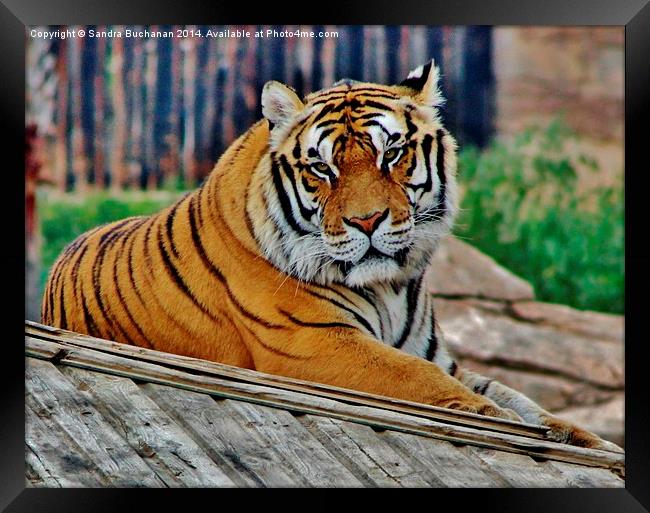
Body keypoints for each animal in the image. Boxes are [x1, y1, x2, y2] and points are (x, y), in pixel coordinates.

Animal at [40, 60, 616, 450]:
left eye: (392, 153)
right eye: (322, 168)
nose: (367, 221)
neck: (390, 285)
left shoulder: (437, 354)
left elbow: (523, 398)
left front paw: (584, 437)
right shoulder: (318, 344)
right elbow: (421, 379)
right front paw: (496, 418)